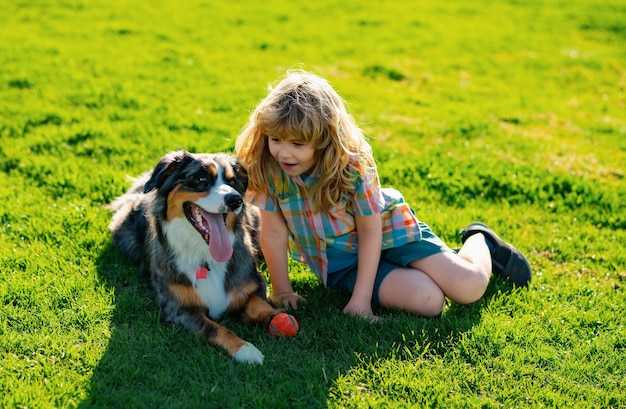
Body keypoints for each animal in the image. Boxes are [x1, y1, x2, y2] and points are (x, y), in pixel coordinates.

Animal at [107, 149, 278, 364]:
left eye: (232, 181)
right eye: (201, 178)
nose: (235, 199)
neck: (205, 255)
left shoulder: (256, 281)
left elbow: (259, 307)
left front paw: (267, 315)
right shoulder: (179, 308)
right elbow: (215, 328)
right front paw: (245, 349)